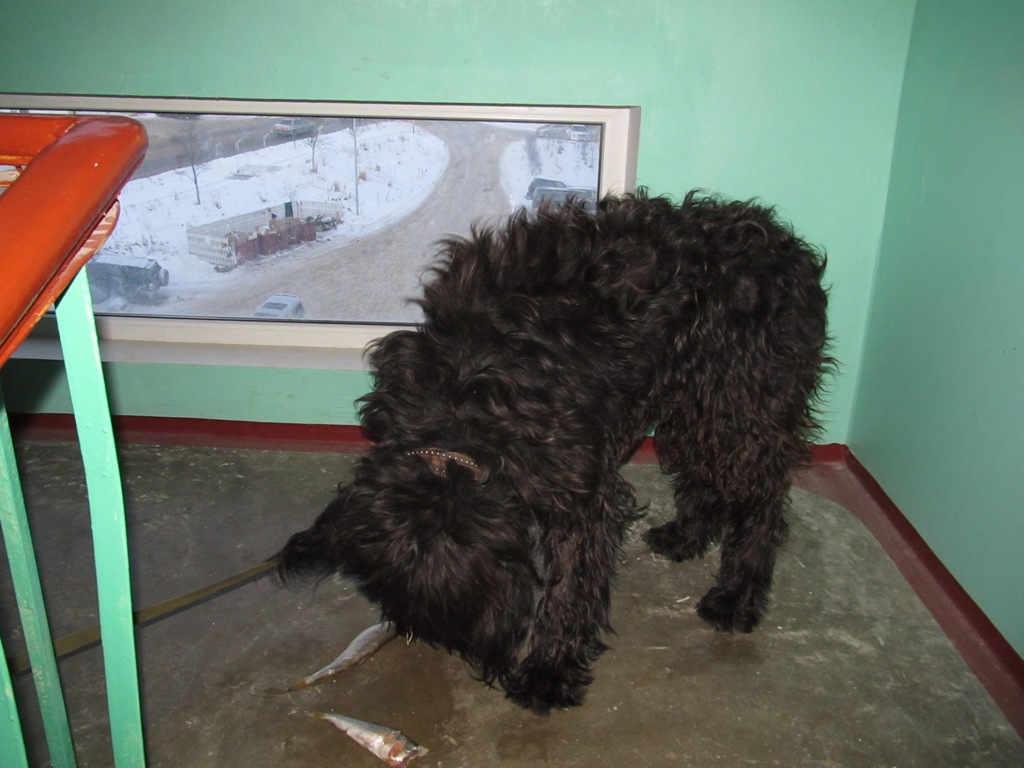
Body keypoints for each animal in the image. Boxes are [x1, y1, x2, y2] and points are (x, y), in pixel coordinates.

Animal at [275, 190, 832, 712]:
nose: (406, 632)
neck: (460, 408)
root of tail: (786, 246)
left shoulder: (582, 492)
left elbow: (571, 588)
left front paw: (549, 670)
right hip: (691, 403)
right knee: (706, 473)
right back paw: (686, 534)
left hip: (742, 405)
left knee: (761, 500)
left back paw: (736, 595)